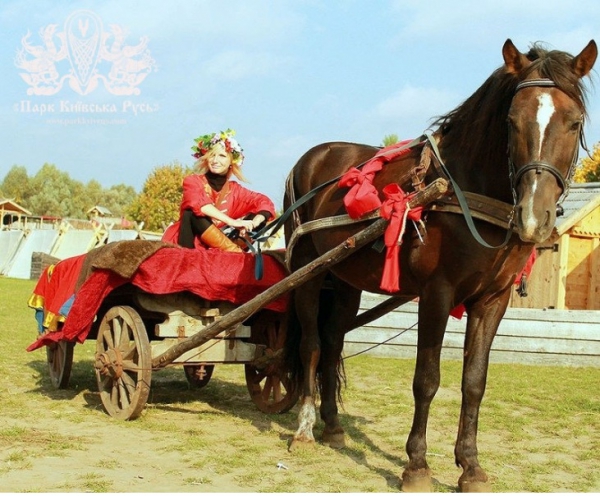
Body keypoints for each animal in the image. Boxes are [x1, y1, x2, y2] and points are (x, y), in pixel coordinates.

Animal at [282, 39, 596, 492]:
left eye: (574, 122)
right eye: (511, 121)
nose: (533, 217)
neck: (465, 190)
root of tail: (311, 158)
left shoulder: (492, 300)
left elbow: (475, 381)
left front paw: (471, 466)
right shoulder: (437, 294)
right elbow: (427, 379)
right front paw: (416, 465)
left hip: (344, 283)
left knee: (333, 343)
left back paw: (334, 427)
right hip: (308, 272)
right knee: (311, 345)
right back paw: (305, 429)